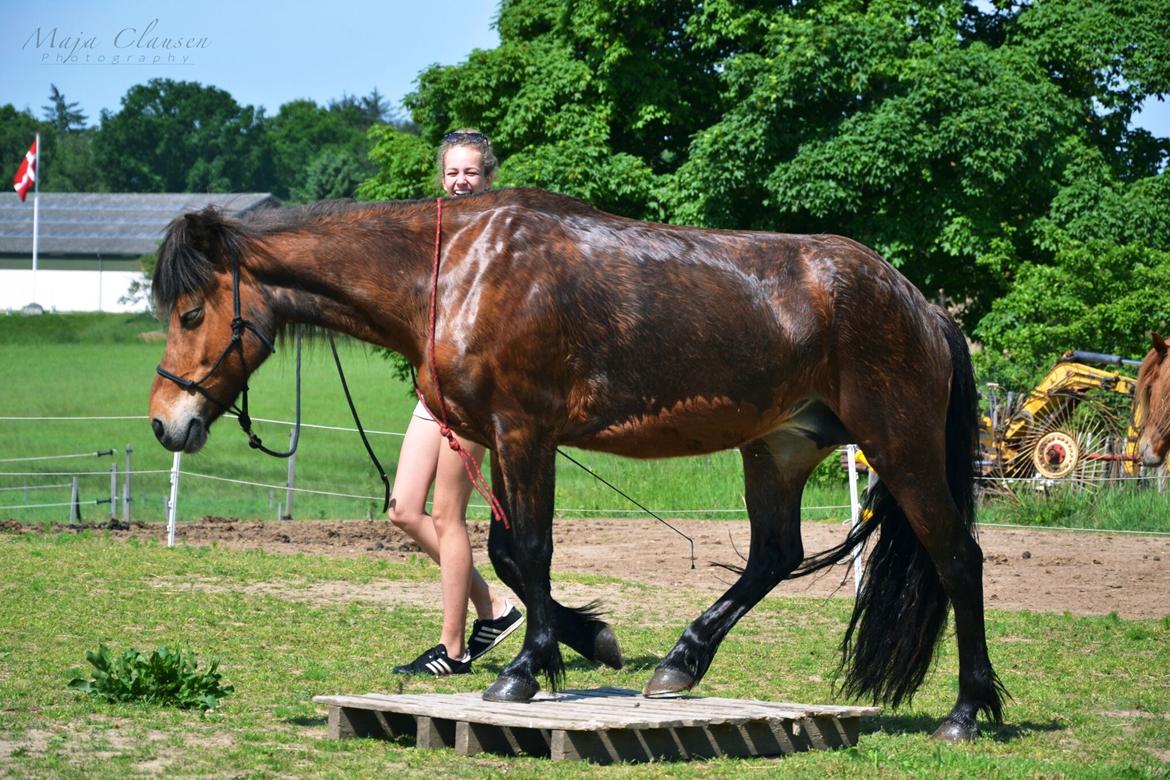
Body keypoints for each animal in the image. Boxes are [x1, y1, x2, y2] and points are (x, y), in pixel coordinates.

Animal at [146, 187, 1006, 739]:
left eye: (191, 313)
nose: (164, 422)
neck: (459, 269)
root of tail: (921, 304)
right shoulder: (499, 439)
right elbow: (503, 552)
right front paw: (591, 641)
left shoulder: (525, 433)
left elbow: (530, 549)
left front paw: (525, 671)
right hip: (779, 448)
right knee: (773, 555)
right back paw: (681, 664)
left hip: (899, 447)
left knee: (956, 558)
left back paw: (967, 714)